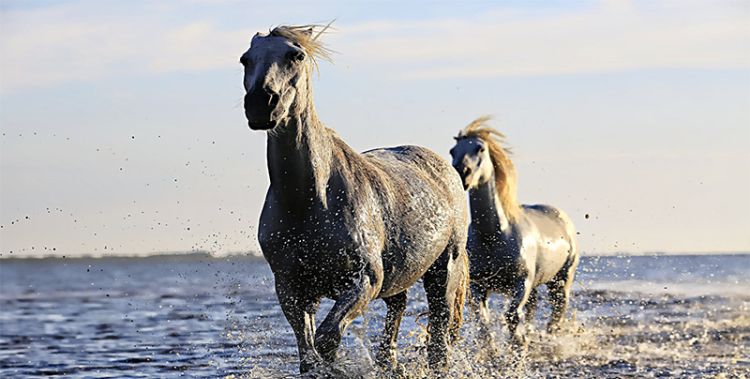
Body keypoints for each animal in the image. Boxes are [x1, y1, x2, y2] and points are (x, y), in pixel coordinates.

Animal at [450, 116, 580, 350]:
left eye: (480, 148)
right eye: (452, 151)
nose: (462, 173)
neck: (494, 236)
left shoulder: (521, 282)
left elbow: (511, 317)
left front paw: (518, 345)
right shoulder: (478, 286)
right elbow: (484, 323)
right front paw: (492, 353)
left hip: (561, 280)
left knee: (557, 312)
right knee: (532, 309)